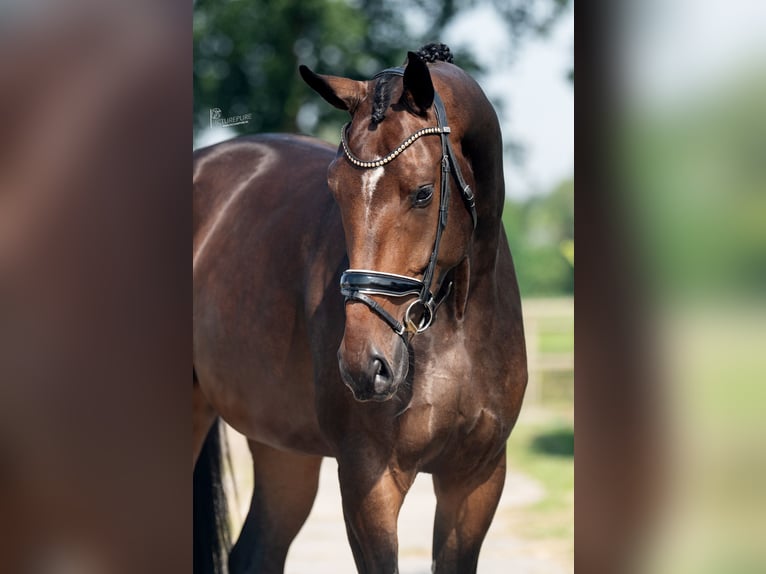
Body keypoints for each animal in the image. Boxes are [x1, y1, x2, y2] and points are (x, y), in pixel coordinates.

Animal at [192, 44, 528, 574]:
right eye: (335, 188)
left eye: (423, 192)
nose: (364, 366)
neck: (458, 326)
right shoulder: (368, 478)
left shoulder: (477, 478)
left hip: (282, 449)